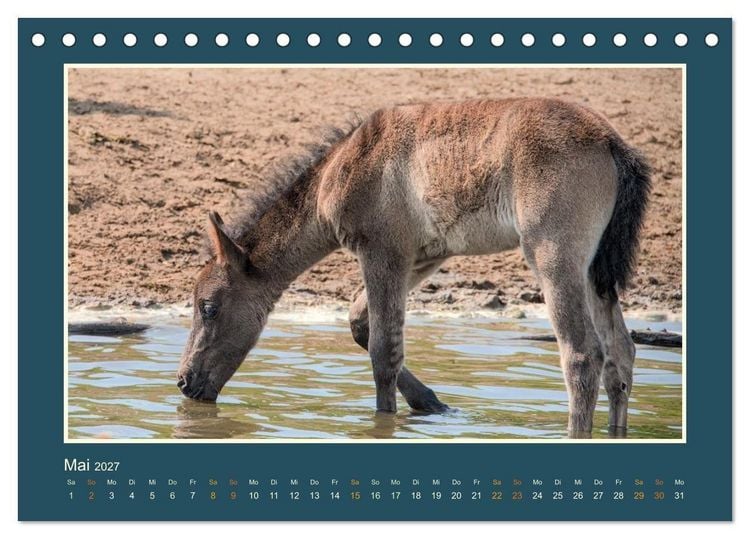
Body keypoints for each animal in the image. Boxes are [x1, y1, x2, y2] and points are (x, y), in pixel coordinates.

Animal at [177, 98, 651, 437]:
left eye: (208, 308)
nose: (183, 383)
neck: (340, 169)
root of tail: (613, 143)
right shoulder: (423, 255)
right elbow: (361, 322)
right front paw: (431, 403)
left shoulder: (381, 251)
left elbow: (383, 349)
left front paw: (385, 420)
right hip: (594, 271)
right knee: (621, 354)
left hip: (554, 256)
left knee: (583, 354)